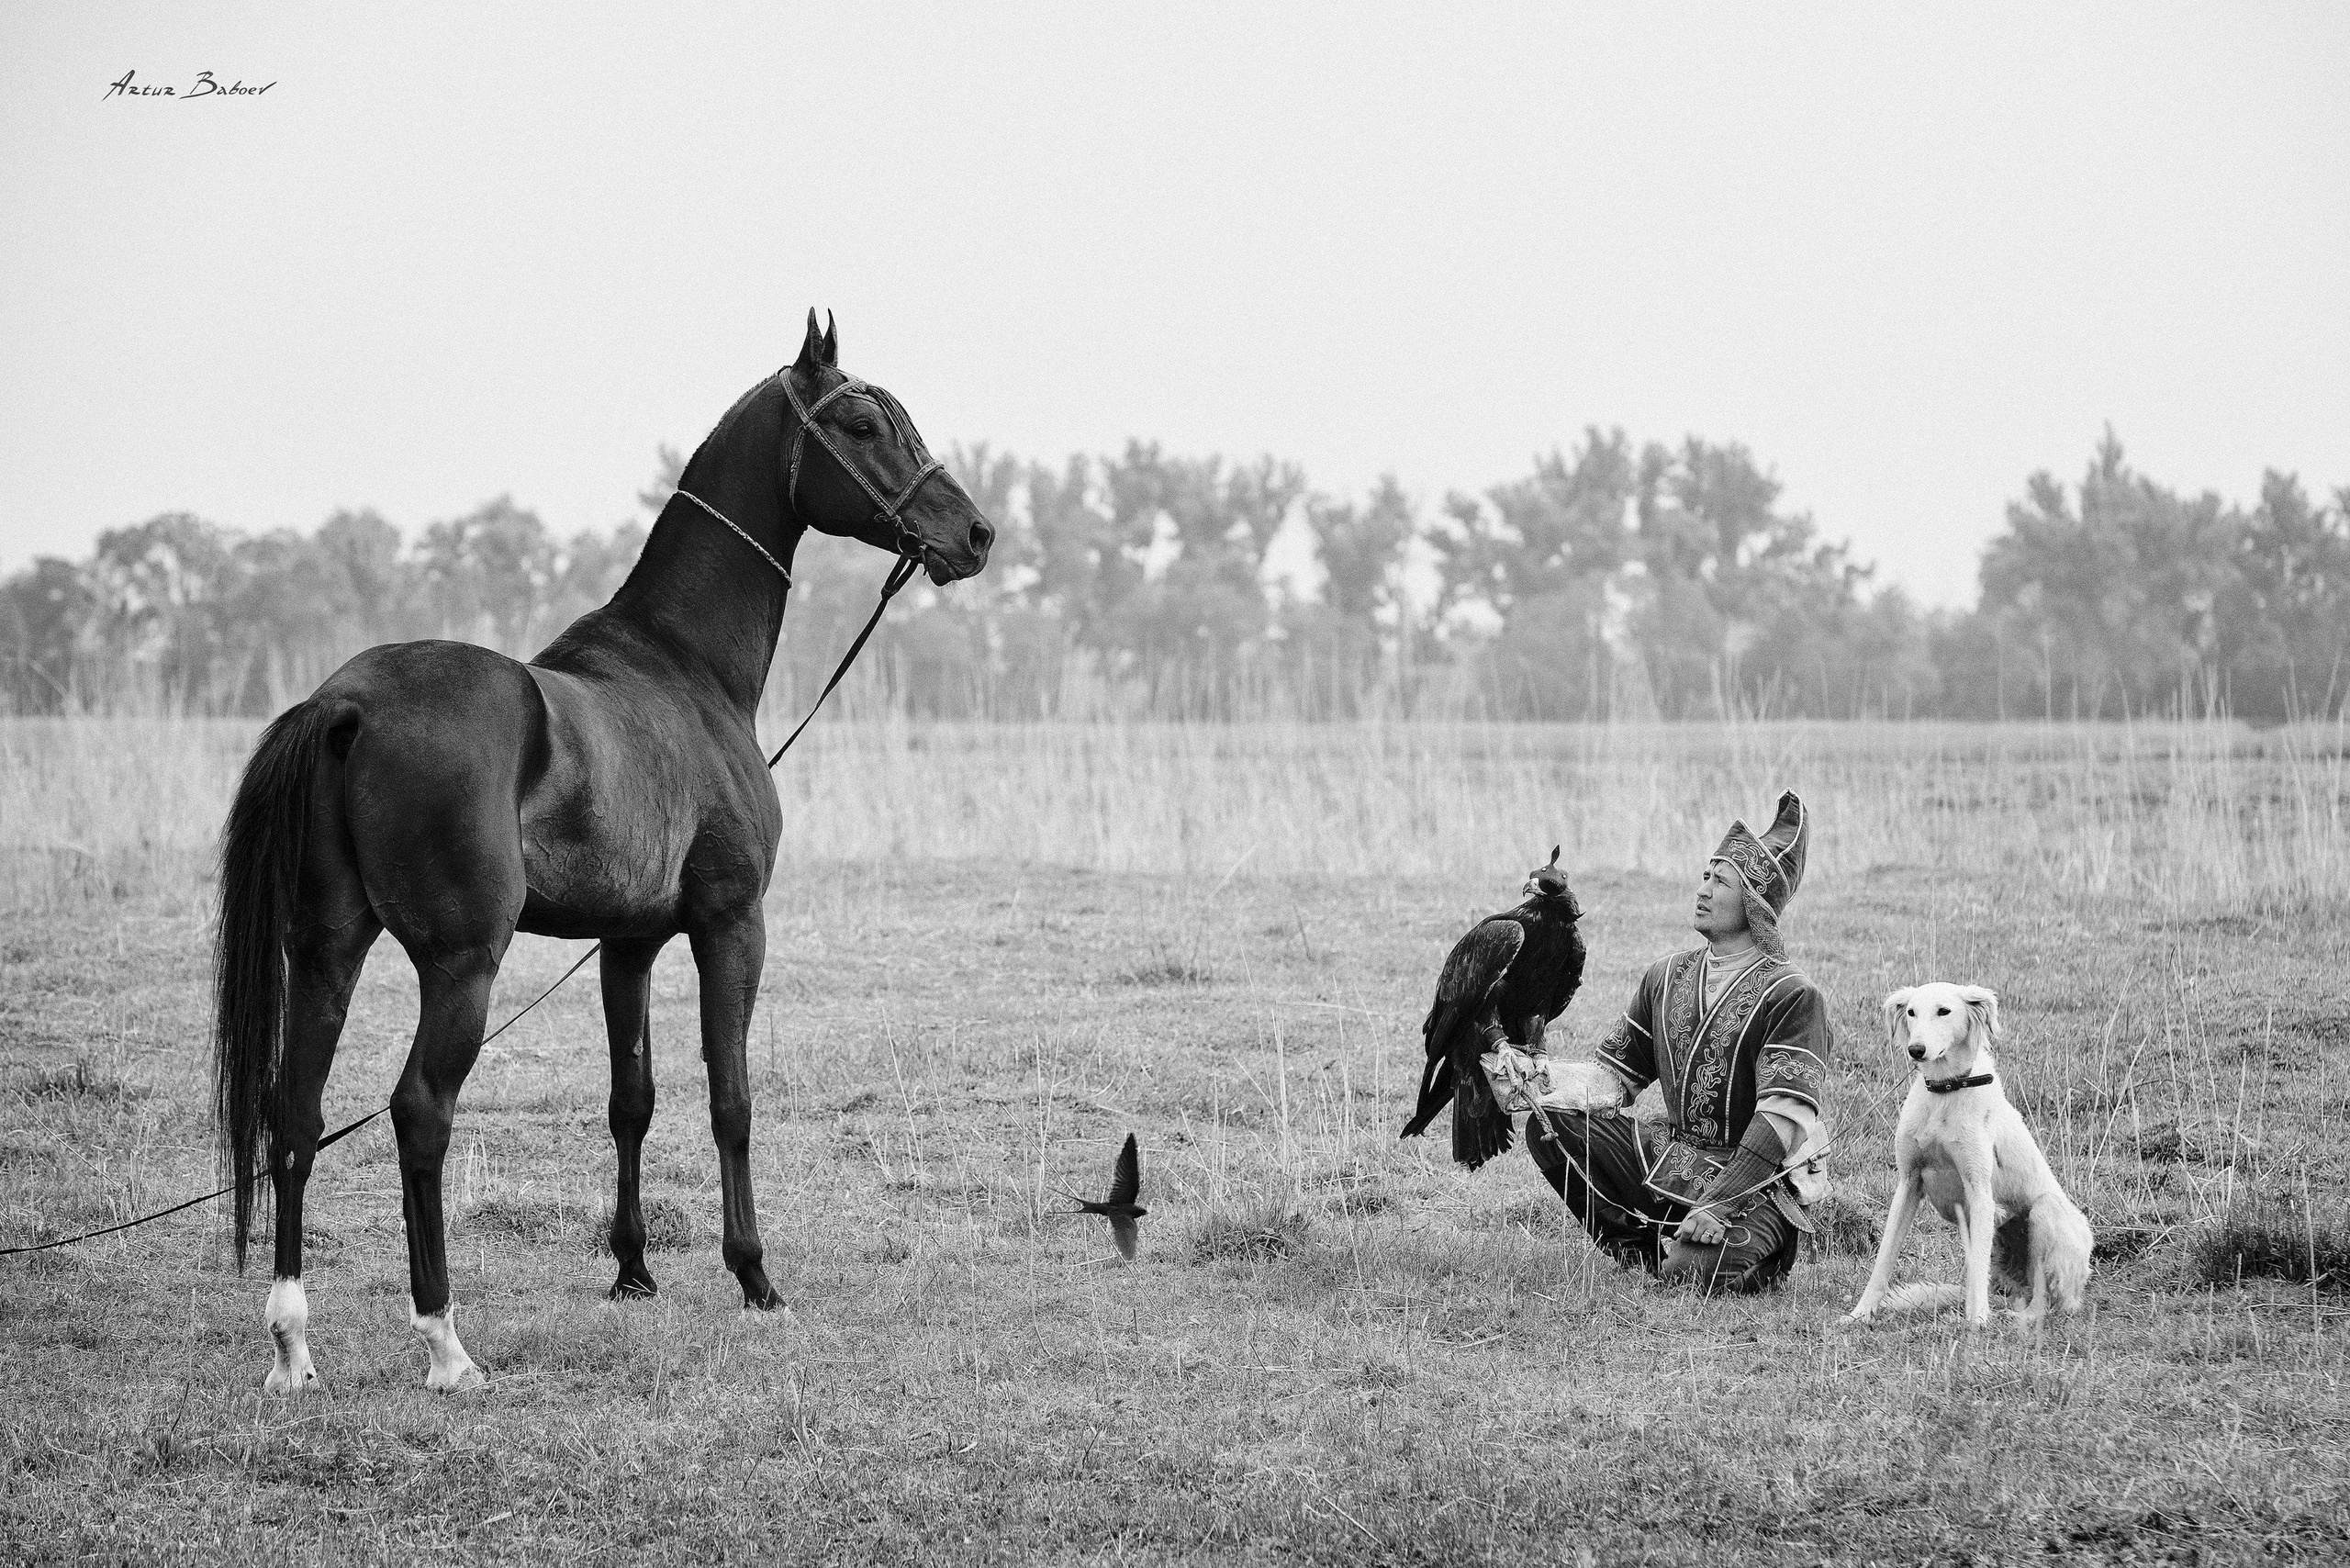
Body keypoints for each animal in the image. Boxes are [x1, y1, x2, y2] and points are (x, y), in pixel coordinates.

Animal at [212, 311, 993, 1393]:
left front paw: (632, 1269)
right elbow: (729, 1096)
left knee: (296, 1113)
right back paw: (444, 1339)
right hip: (461, 963)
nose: (976, 535)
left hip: (327, 948)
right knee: (419, 1111)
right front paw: (755, 1276)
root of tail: (347, 702)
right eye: (864, 423)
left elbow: (634, 1098)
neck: (682, 667)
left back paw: (293, 1343)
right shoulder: (731, 923)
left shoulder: (628, 945)